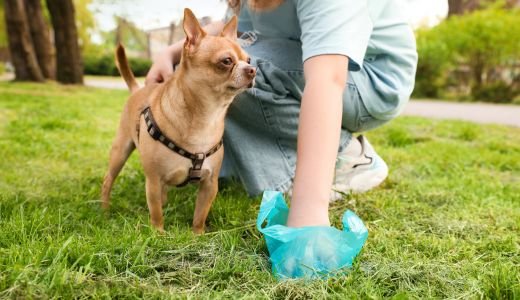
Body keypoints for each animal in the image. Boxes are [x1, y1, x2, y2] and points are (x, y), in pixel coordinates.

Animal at [100, 8, 255, 234]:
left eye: (249, 60)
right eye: (226, 61)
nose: (252, 70)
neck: (207, 115)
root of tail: (138, 90)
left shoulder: (209, 184)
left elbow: (200, 214)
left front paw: (198, 235)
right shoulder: (153, 181)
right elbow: (156, 212)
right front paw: (158, 234)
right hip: (120, 151)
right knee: (108, 180)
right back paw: (104, 210)